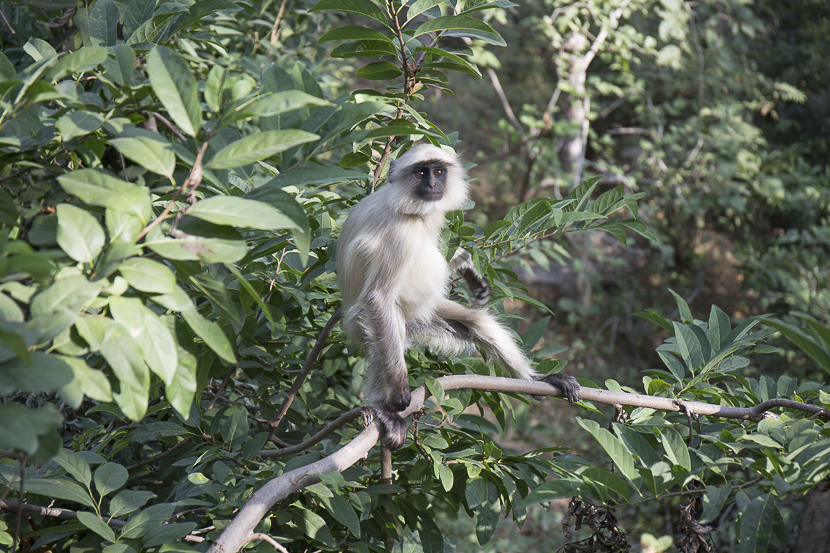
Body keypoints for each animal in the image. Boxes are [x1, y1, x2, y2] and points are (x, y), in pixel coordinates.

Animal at [336, 144, 580, 450]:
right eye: (420, 173)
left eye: (439, 172)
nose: (432, 185)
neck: (408, 211)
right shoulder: (400, 235)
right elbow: (378, 298)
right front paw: (399, 396)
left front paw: (468, 268)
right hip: (362, 322)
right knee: (391, 324)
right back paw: (382, 409)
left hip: (424, 316)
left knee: (476, 322)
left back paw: (537, 380)